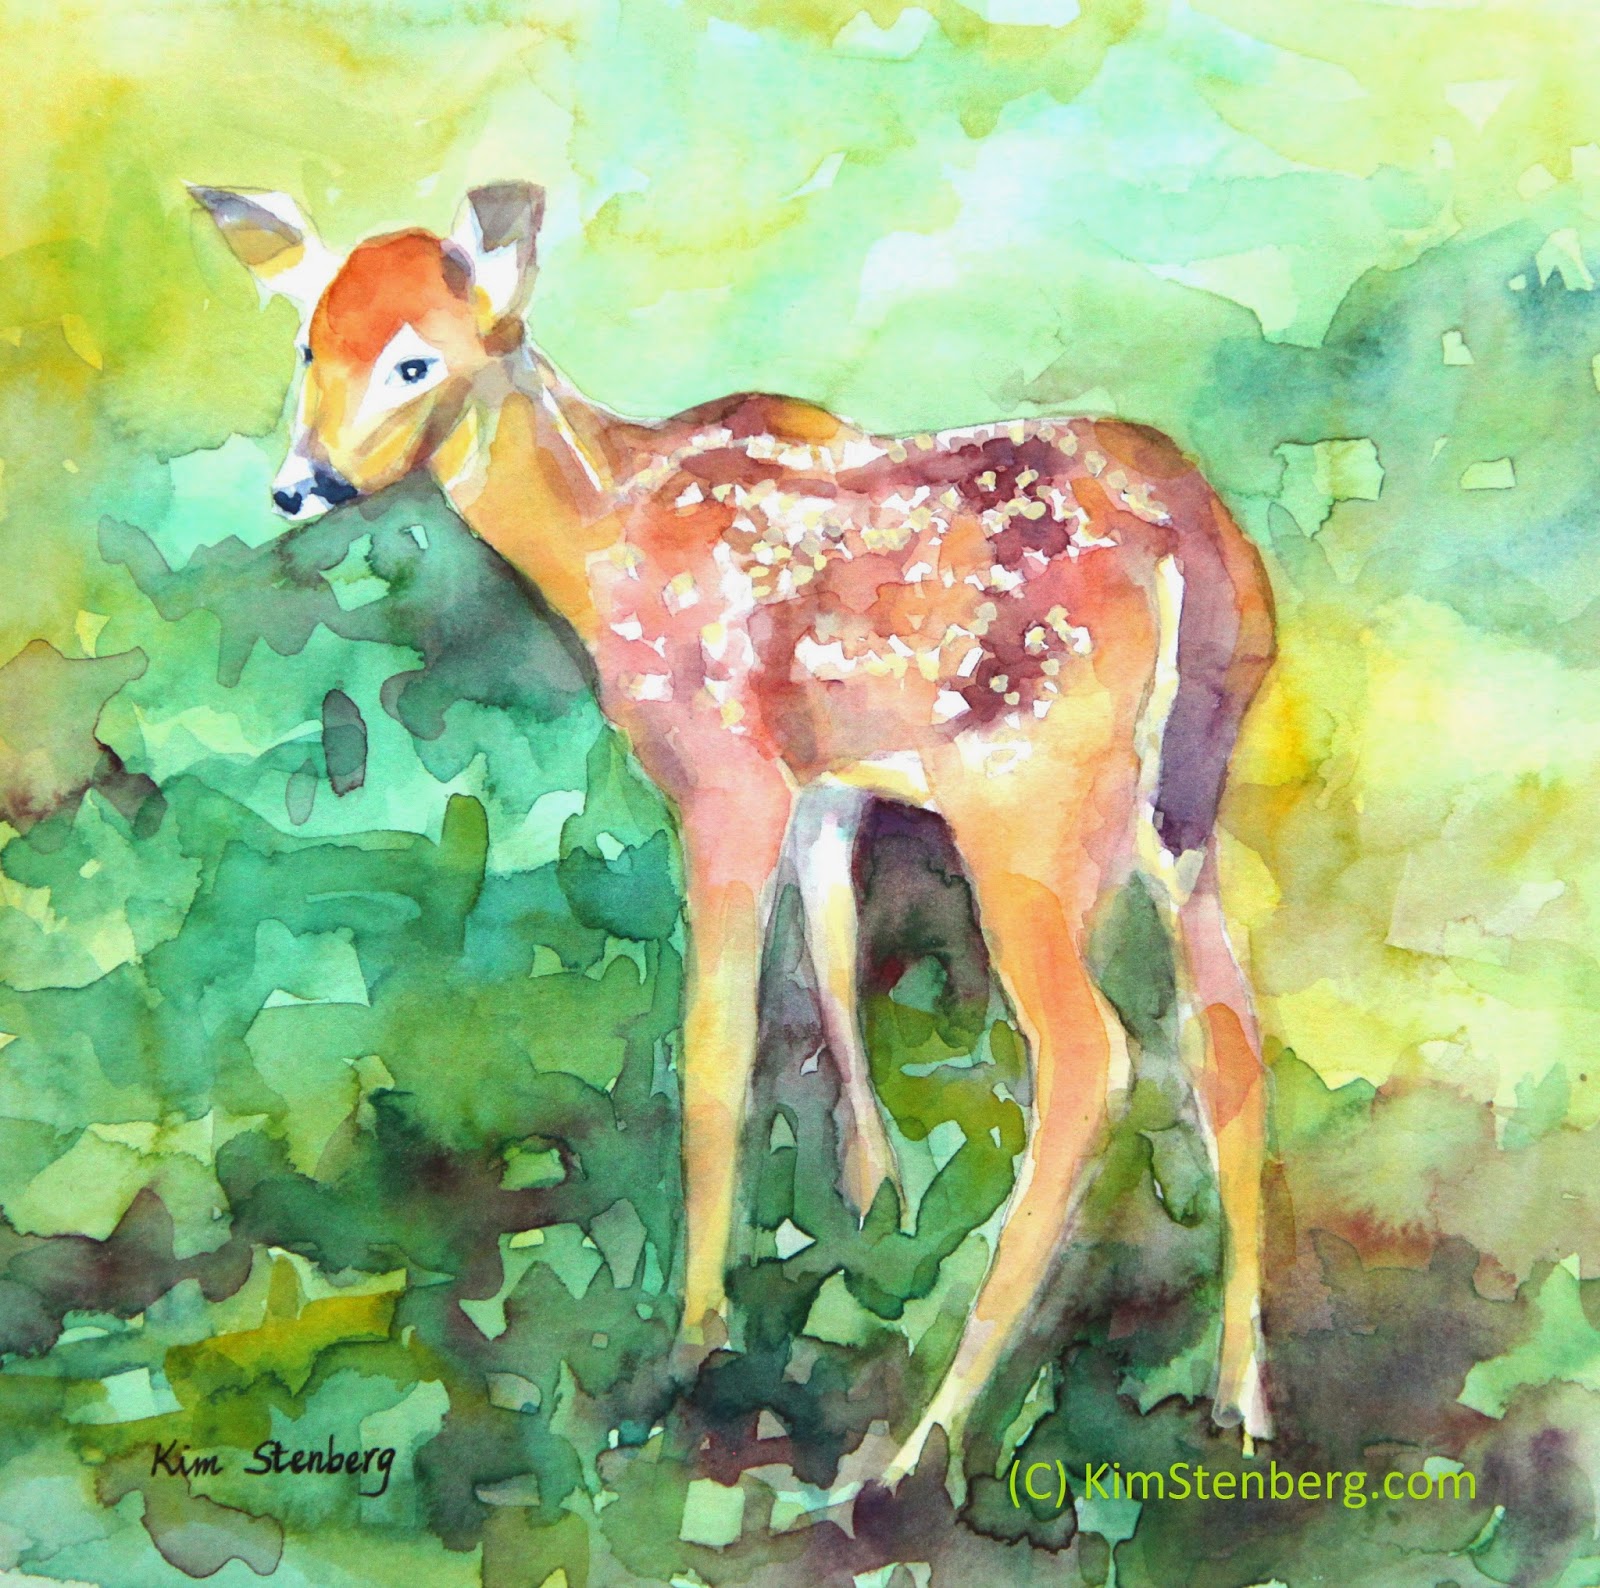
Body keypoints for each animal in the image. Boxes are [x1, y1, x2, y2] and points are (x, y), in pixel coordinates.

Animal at [190, 179, 1277, 1485]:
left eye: (415, 360)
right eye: (310, 343)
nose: (301, 486)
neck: (600, 536)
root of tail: (1193, 537)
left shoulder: (724, 774)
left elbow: (716, 1047)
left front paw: (694, 1336)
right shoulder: (824, 781)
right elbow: (833, 953)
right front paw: (871, 1197)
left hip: (1027, 800)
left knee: (1089, 1058)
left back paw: (919, 1438)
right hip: (1183, 809)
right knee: (1228, 1037)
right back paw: (1239, 1395)